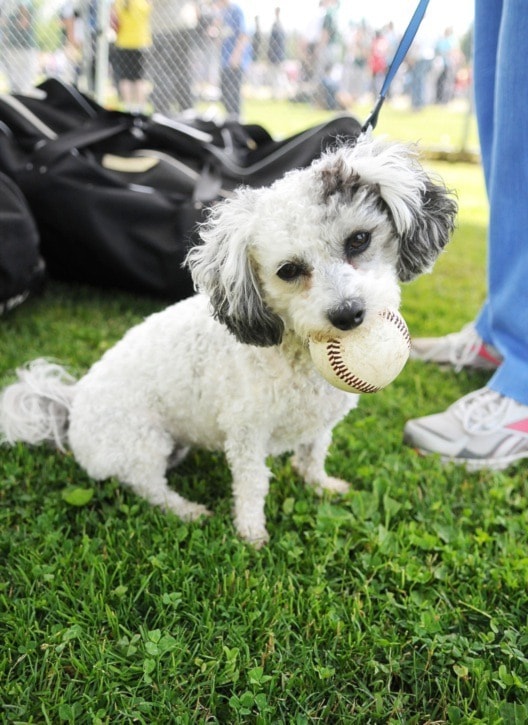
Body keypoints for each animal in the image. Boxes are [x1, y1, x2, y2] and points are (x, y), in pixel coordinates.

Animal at [0, 134, 454, 544]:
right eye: (289, 271)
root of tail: (72, 403)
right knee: (148, 488)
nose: (347, 314)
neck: (293, 350)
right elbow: (252, 484)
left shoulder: (319, 423)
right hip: (140, 443)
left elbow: (313, 454)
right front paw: (251, 533)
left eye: (359, 239)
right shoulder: (246, 433)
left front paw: (320, 485)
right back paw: (186, 510)